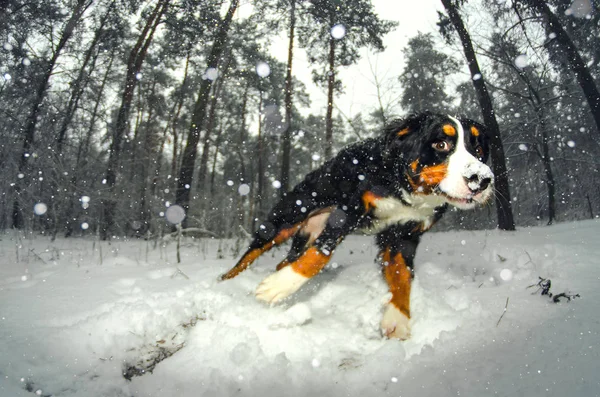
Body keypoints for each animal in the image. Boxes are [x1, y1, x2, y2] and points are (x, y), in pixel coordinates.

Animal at [220, 110, 492, 338]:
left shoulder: (405, 235)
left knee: (285, 260)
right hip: (285, 220)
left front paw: (398, 318)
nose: (482, 179)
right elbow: (320, 254)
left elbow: (403, 276)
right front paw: (279, 286)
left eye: (478, 148)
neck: (406, 190)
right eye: (441, 144)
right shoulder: (348, 211)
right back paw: (225, 283)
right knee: (247, 257)